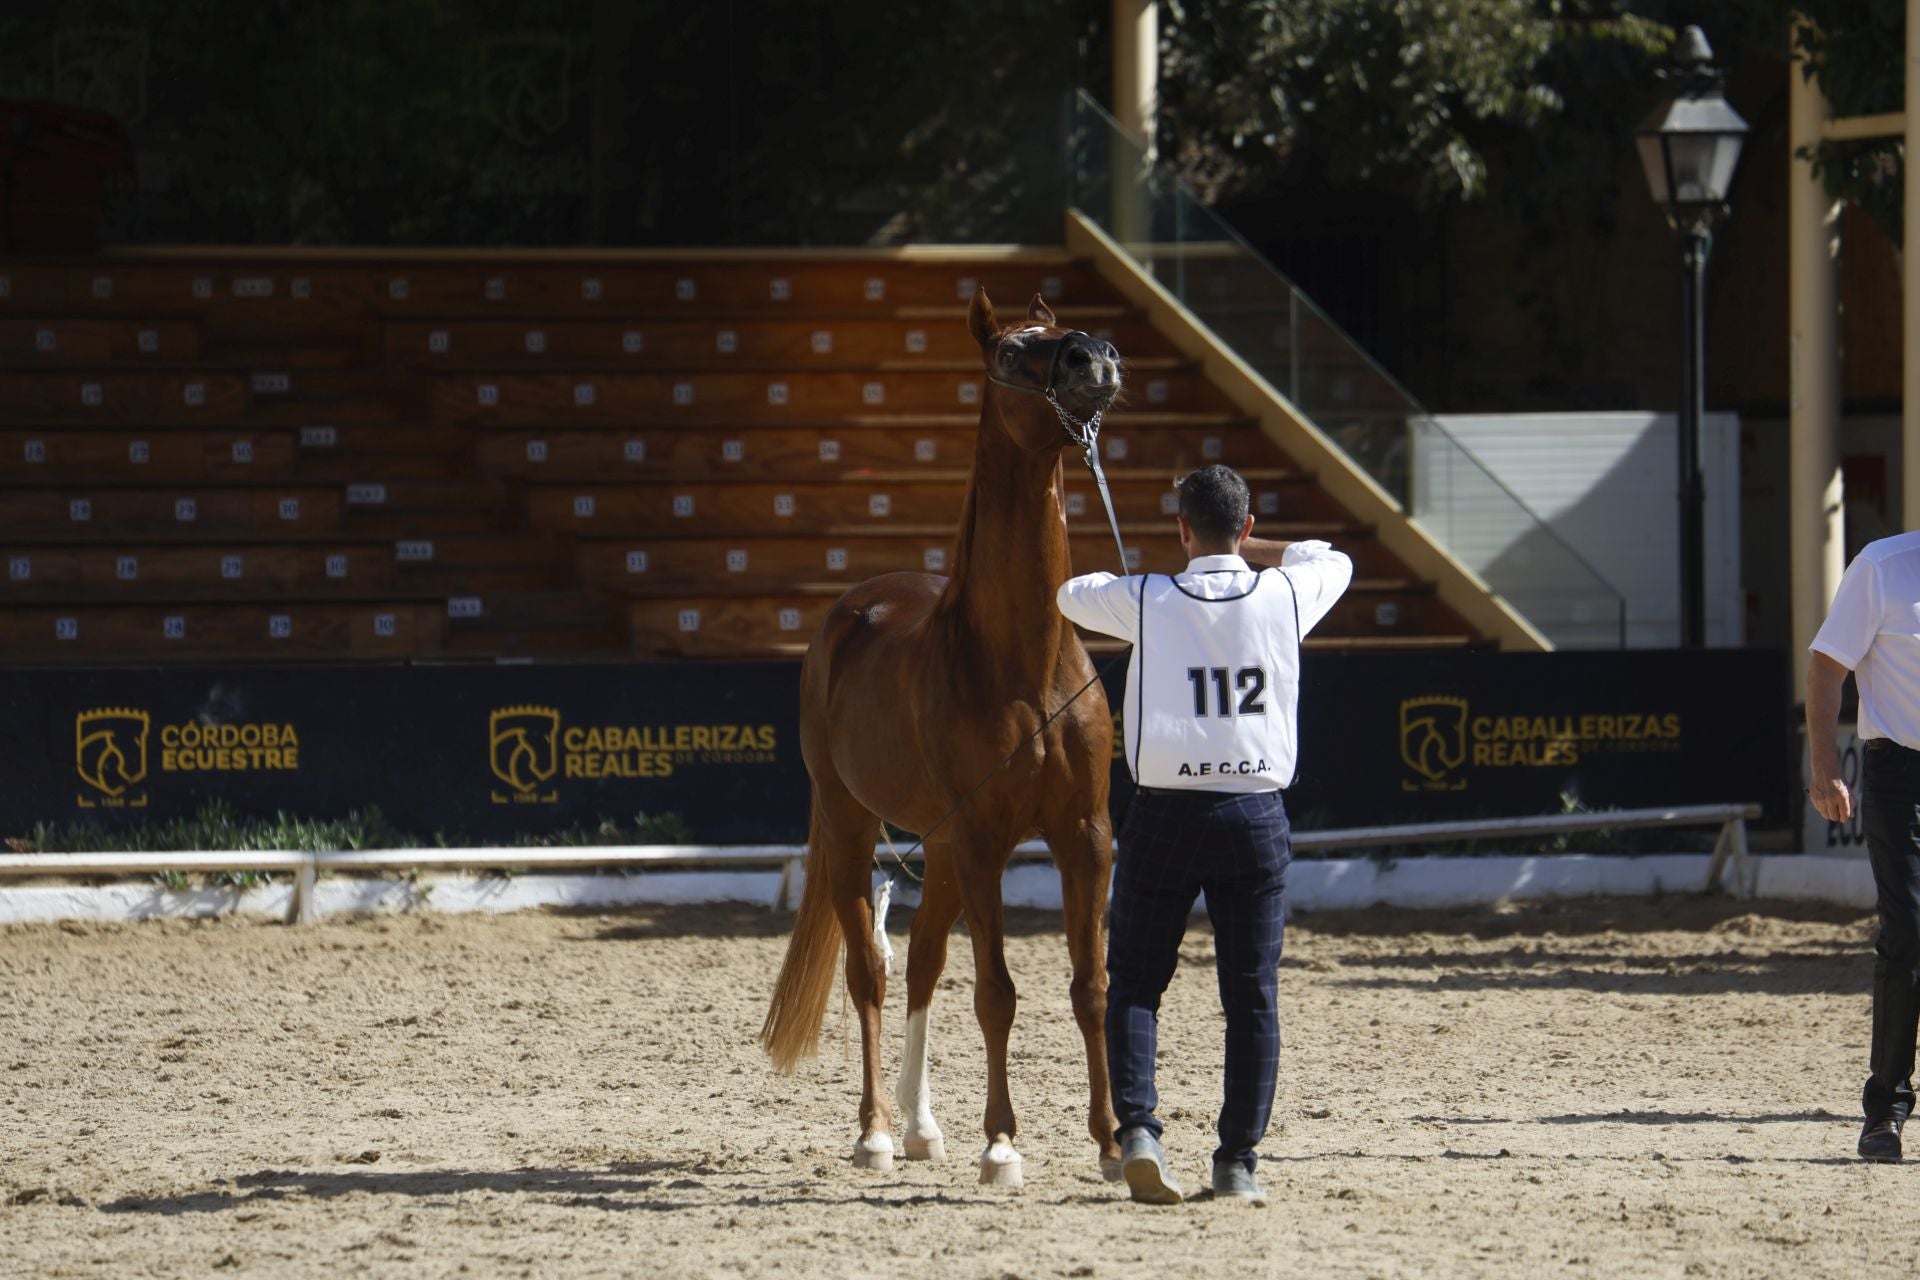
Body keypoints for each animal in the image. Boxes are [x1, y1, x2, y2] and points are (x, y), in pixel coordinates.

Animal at [761, 288, 1125, 1187]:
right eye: (1009, 354)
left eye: (1062, 329)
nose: (1094, 357)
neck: (1026, 662)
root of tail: (853, 609)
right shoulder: (989, 837)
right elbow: (997, 992)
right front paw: (1003, 1145)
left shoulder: (1086, 836)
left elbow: (1091, 985)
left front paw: (1112, 1141)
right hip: (855, 826)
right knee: (872, 970)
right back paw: (877, 1133)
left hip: (945, 845)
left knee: (923, 962)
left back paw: (922, 1128)